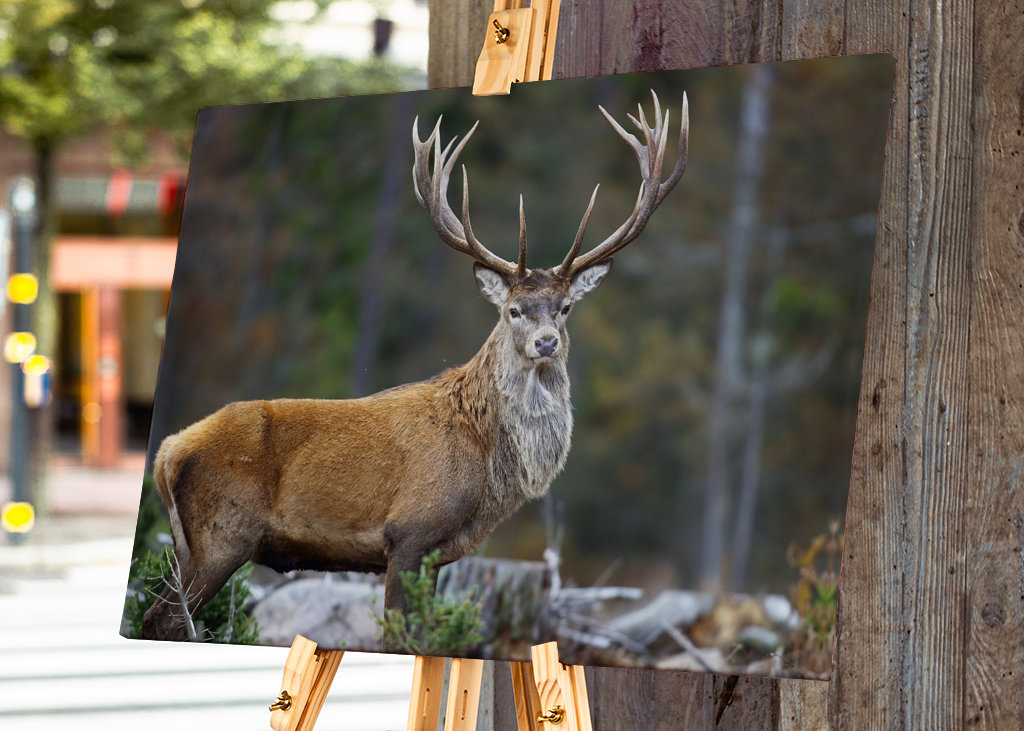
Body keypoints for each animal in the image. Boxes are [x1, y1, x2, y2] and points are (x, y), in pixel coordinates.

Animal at [139, 90, 688, 642]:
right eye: (514, 310)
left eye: (565, 307)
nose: (547, 342)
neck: (488, 469)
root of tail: (167, 453)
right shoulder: (409, 533)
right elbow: (397, 636)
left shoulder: (439, 556)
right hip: (221, 535)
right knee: (162, 617)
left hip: (195, 544)